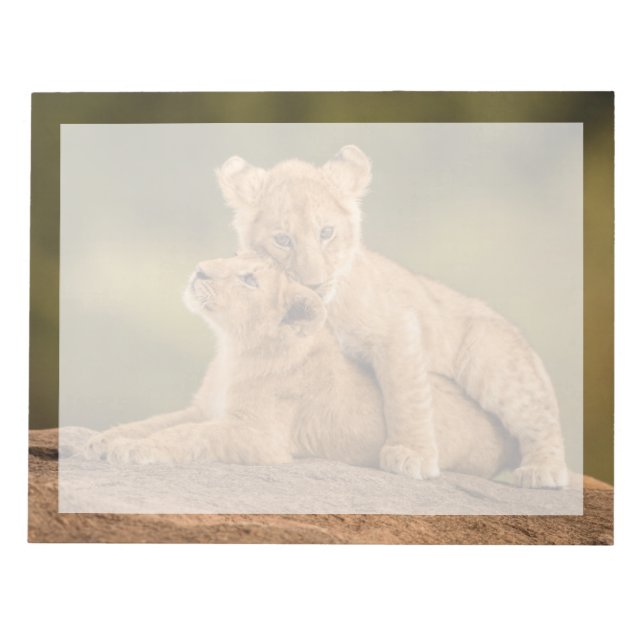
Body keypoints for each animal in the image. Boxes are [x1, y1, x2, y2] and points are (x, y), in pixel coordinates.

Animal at [85, 252, 516, 479]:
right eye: (233, 257)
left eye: (249, 280)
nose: (200, 269)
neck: (233, 348)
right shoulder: (202, 408)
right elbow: (154, 422)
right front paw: (104, 440)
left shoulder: (261, 437)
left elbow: (187, 435)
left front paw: (134, 450)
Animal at [216, 146, 569, 487]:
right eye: (282, 239)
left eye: (326, 232)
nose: (314, 283)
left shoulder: (397, 327)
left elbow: (405, 394)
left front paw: (412, 454)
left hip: (492, 358)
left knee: (540, 416)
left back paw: (544, 471)